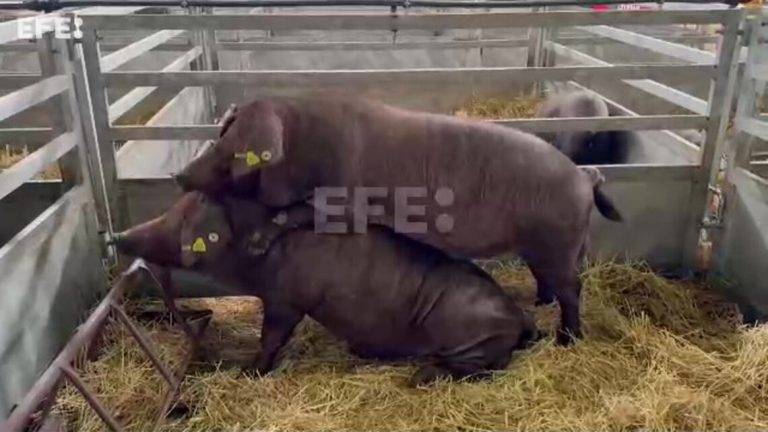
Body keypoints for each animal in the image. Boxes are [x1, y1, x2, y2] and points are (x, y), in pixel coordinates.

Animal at [111, 192, 538, 386]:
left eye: (176, 220)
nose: (116, 236)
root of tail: (519, 317)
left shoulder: (285, 299)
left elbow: (272, 337)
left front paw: (248, 372)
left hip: (474, 341)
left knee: (481, 369)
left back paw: (419, 376)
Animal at [174, 94, 623, 344]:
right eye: (219, 137)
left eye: (230, 150)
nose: (179, 176)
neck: (306, 149)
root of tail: (584, 175)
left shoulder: (345, 201)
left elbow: (296, 213)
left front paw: (257, 242)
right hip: (552, 244)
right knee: (552, 280)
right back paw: (540, 302)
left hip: (557, 241)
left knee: (572, 289)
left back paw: (567, 341)